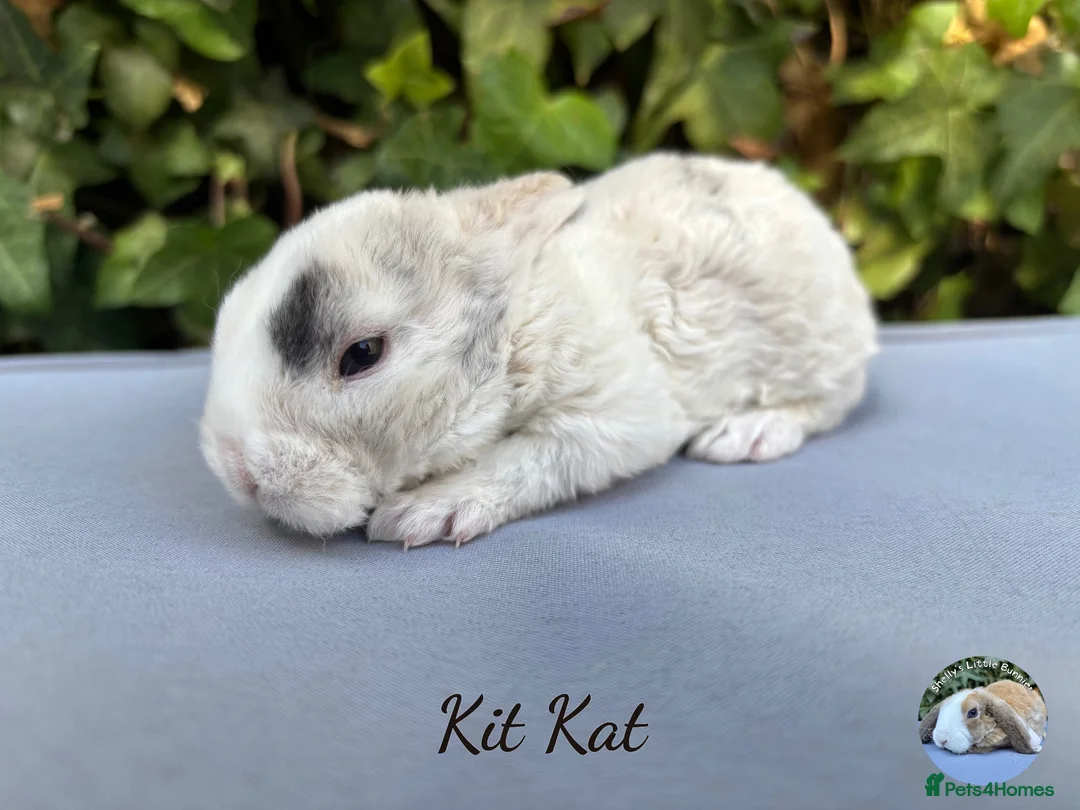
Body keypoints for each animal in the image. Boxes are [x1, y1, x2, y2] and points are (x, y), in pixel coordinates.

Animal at [199, 152, 879, 546]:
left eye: (363, 352)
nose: (236, 472)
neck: (516, 328)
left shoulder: (613, 415)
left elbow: (531, 457)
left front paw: (424, 513)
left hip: (818, 353)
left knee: (823, 408)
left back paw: (746, 434)